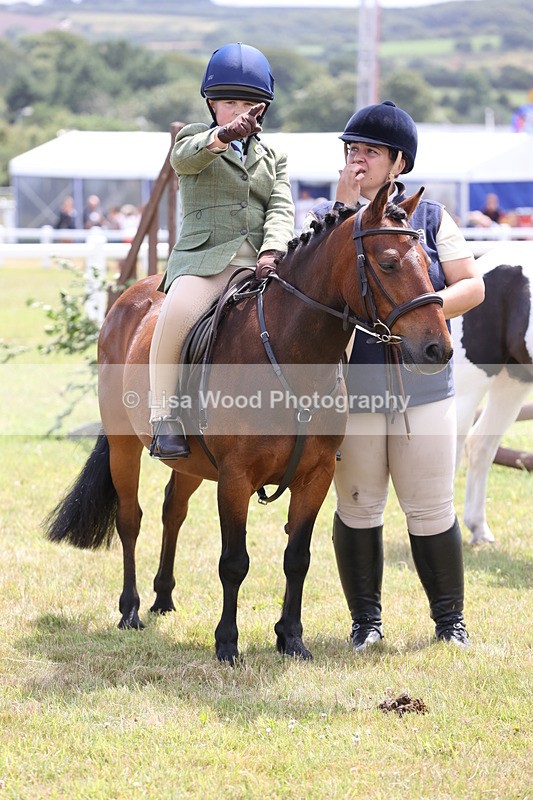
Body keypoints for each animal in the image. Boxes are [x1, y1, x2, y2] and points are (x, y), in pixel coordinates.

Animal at [45, 182, 453, 664]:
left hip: (190, 463)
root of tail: (130, 297)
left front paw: (291, 638)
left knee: (172, 511)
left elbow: (298, 557)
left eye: (427, 260)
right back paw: (130, 610)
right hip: (125, 445)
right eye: (388, 263)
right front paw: (227, 643)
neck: (292, 355)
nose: (438, 349)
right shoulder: (236, 478)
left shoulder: (316, 476)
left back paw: (163, 598)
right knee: (131, 518)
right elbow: (234, 562)